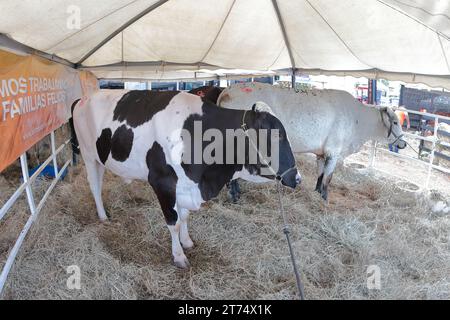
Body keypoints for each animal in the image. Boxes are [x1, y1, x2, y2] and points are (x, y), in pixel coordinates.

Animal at [72, 90, 300, 268]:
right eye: (277, 135)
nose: (297, 178)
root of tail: (84, 97)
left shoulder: (184, 185)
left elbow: (184, 217)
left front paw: (187, 241)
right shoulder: (163, 183)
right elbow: (173, 222)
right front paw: (179, 256)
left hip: (100, 158)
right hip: (88, 155)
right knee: (94, 186)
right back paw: (103, 216)